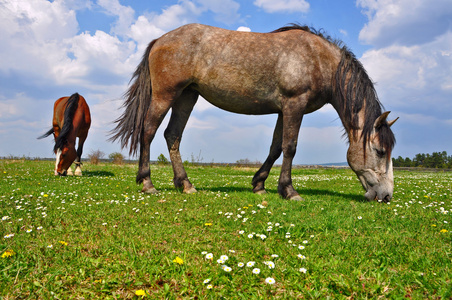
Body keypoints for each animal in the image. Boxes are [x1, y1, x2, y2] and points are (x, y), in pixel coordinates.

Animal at [111, 23, 398, 202]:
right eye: (380, 151)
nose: (386, 196)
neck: (317, 59)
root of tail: (160, 39)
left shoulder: (285, 110)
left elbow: (276, 148)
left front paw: (259, 185)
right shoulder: (295, 105)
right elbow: (290, 147)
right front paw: (289, 190)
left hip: (186, 97)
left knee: (172, 136)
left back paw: (186, 184)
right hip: (165, 95)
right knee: (148, 131)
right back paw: (147, 184)